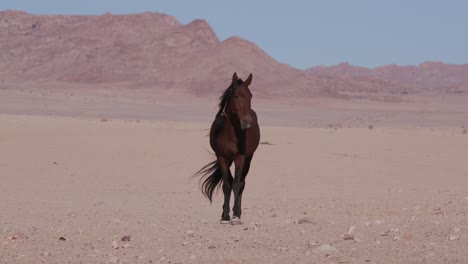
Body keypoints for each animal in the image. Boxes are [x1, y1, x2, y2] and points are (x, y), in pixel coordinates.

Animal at [194, 72, 260, 225]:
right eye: (235, 96)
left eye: (251, 95)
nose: (247, 122)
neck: (229, 133)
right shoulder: (222, 157)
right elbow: (226, 184)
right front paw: (225, 216)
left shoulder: (240, 157)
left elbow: (236, 184)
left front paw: (235, 216)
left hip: (248, 159)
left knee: (242, 183)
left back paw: (238, 213)